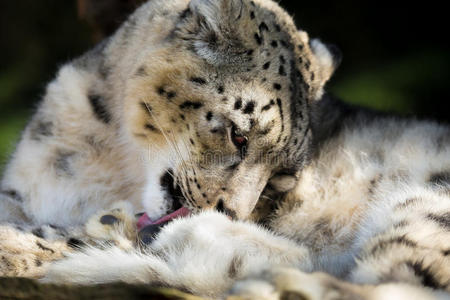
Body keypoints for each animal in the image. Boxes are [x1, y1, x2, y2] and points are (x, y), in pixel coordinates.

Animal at [0, 0, 450, 298]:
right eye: (239, 135)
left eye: (282, 174)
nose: (231, 209)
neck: (109, 159)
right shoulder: (20, 190)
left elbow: (58, 234)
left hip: (427, 207)